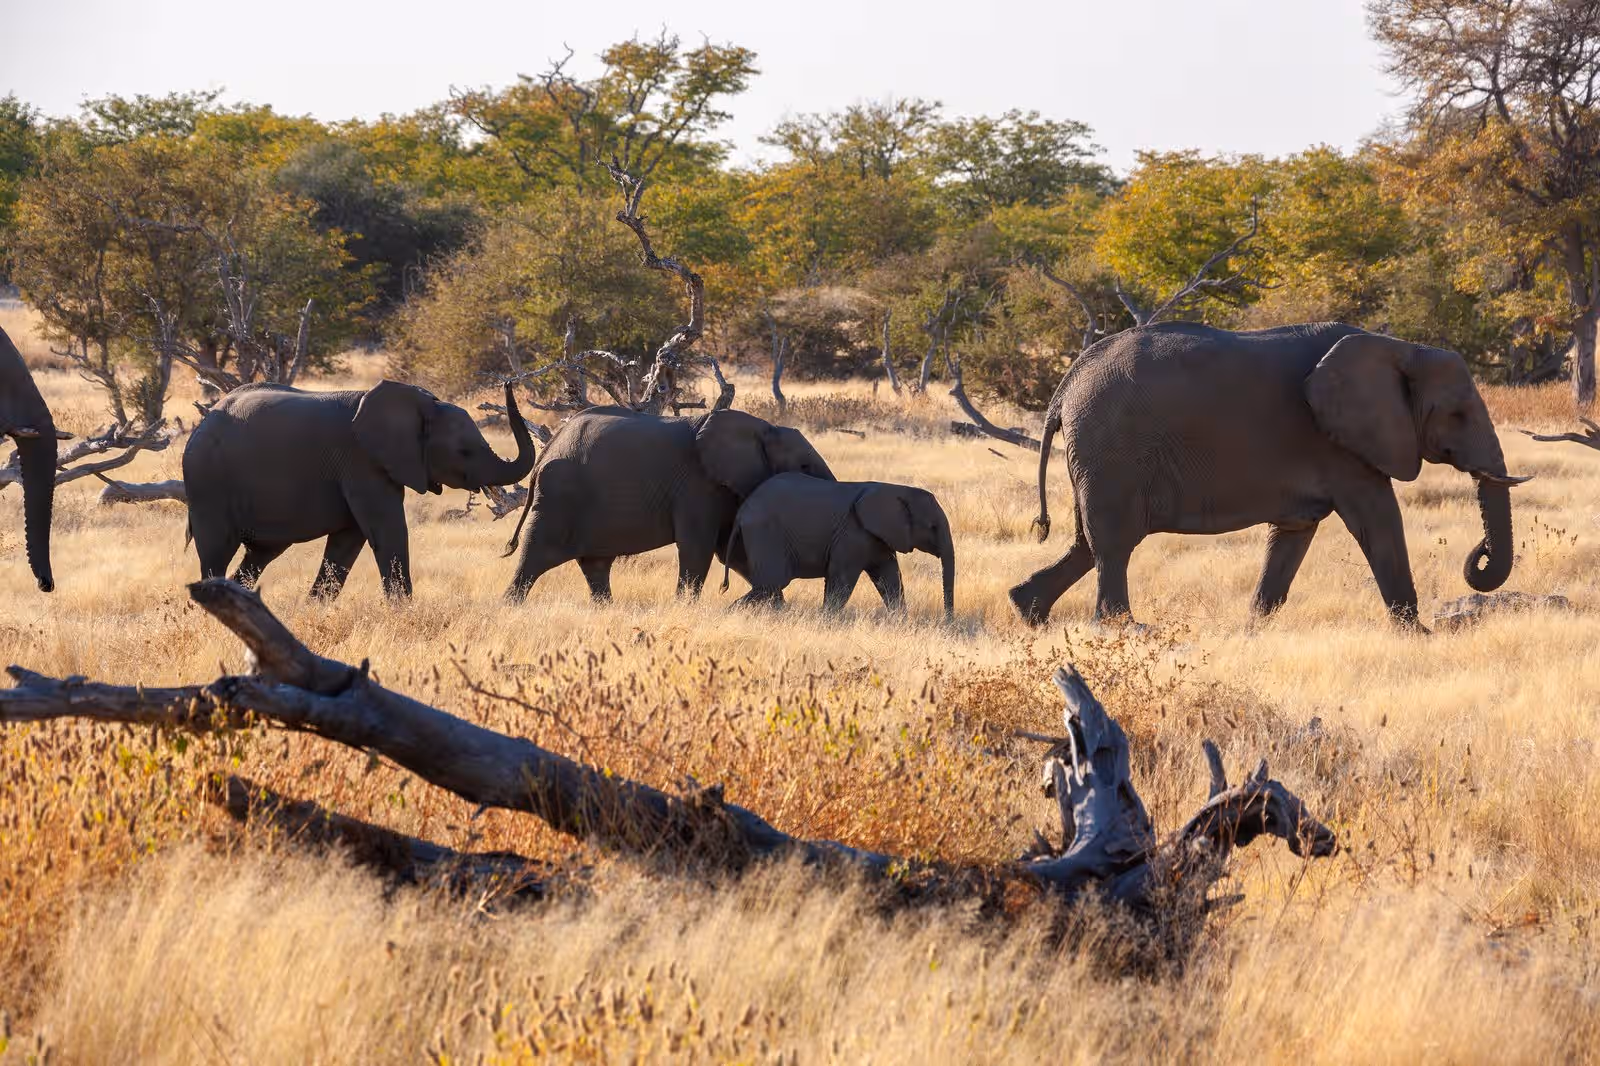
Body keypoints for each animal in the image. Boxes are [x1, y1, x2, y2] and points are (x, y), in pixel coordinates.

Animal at [183, 380, 535, 598]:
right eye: (464, 452)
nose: (507, 383)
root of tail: (202, 423)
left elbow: (347, 542)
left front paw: (315, 610)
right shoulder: (361, 462)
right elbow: (386, 531)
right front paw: (404, 615)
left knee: (258, 555)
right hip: (207, 485)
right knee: (216, 553)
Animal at [502, 406, 835, 602]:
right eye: (804, 466)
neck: (764, 427)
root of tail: (548, 448)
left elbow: (733, 549)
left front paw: (774, 607)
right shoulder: (697, 484)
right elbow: (698, 547)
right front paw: (685, 607)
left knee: (595, 565)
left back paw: (605, 608)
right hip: (559, 496)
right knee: (535, 555)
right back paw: (511, 605)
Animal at [719, 474, 956, 620]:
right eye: (932, 527)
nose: (948, 622)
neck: (895, 490)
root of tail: (743, 510)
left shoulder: (877, 537)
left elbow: (890, 578)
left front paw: (901, 622)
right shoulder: (853, 534)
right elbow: (842, 578)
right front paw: (826, 621)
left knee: (768, 585)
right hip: (766, 532)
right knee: (771, 582)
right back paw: (732, 614)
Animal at [1008, 323, 1531, 629]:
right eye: (1458, 414)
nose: (1480, 553)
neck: (1403, 348)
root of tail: (1067, 384)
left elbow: (1293, 535)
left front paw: (1254, 630)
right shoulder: (1339, 444)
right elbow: (1379, 520)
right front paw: (1417, 635)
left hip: (1097, 458)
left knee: (1088, 543)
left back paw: (1029, 612)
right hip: (1112, 449)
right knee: (1114, 545)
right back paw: (1125, 630)